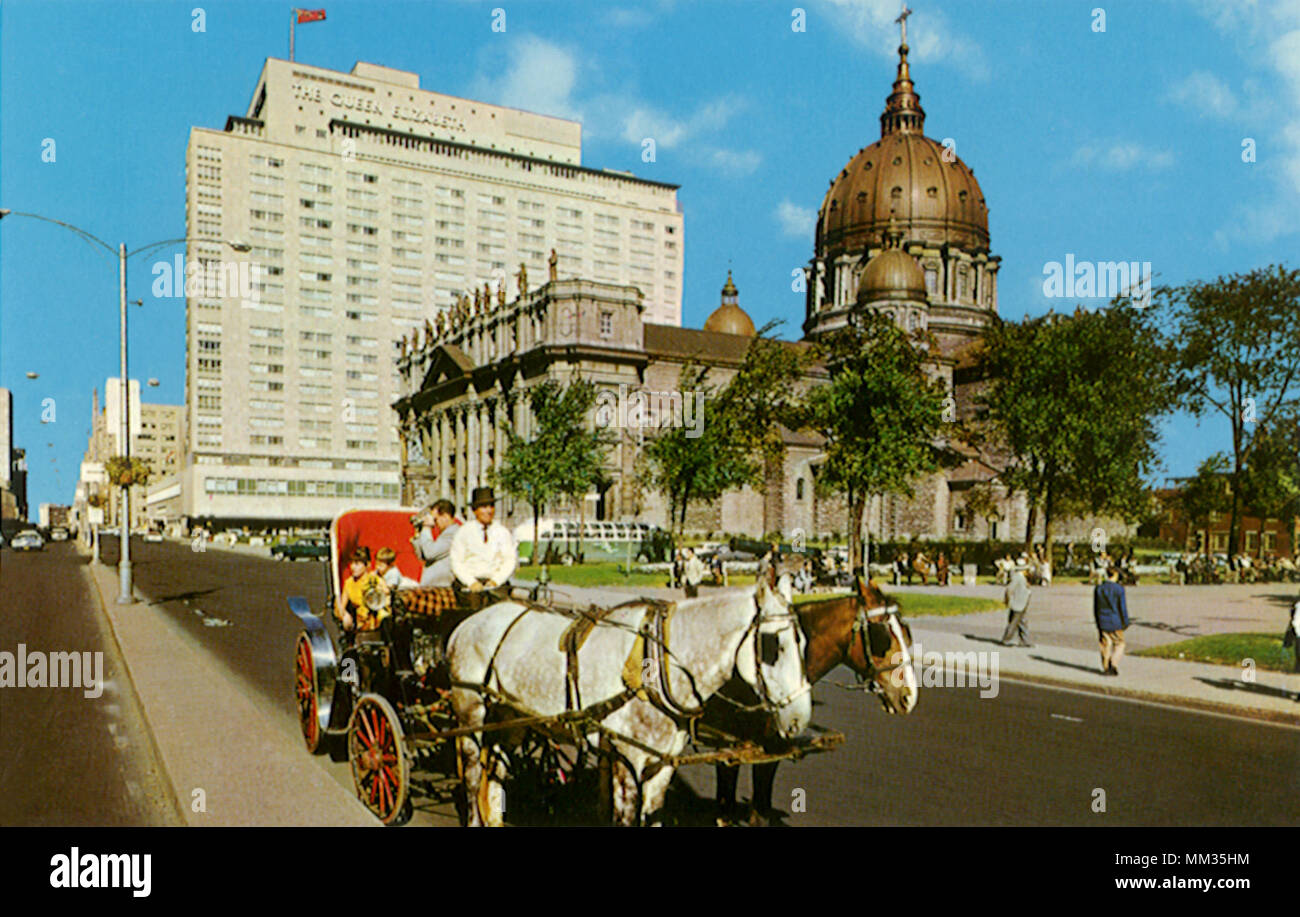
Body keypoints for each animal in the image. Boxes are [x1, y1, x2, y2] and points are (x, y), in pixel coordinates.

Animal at [452, 561, 806, 827]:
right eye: (773, 645)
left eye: (802, 641)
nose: (799, 719)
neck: (656, 670)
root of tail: (467, 624)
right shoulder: (627, 758)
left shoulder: (662, 765)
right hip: (471, 711)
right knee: (472, 775)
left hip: (509, 718)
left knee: (495, 772)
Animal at [707, 572, 920, 822]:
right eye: (882, 637)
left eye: (906, 634)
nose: (908, 696)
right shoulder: (727, 746)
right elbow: (727, 804)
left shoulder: (770, 749)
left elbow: (760, 807)